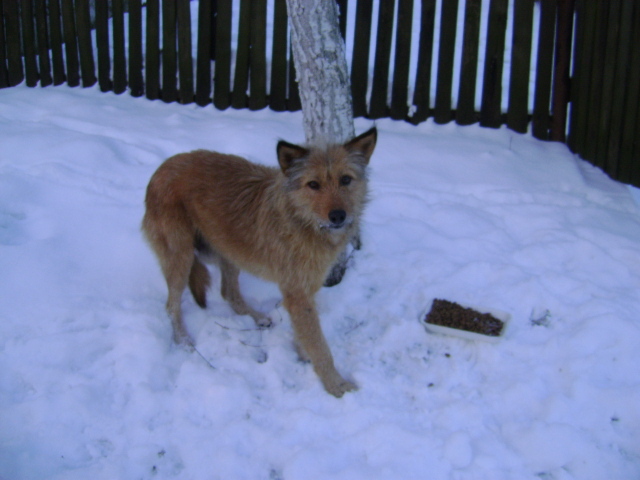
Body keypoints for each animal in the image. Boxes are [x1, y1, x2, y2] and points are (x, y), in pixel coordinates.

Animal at [141, 127, 376, 398]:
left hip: (229, 250)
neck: (302, 221)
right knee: (171, 305)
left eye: (346, 180)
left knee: (228, 292)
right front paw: (336, 386)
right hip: (181, 257)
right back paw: (183, 340)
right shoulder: (298, 294)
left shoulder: (306, 290)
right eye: (313, 185)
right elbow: (320, 346)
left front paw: (304, 355)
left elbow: (306, 334)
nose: (338, 216)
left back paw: (256, 316)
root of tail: (162, 167)